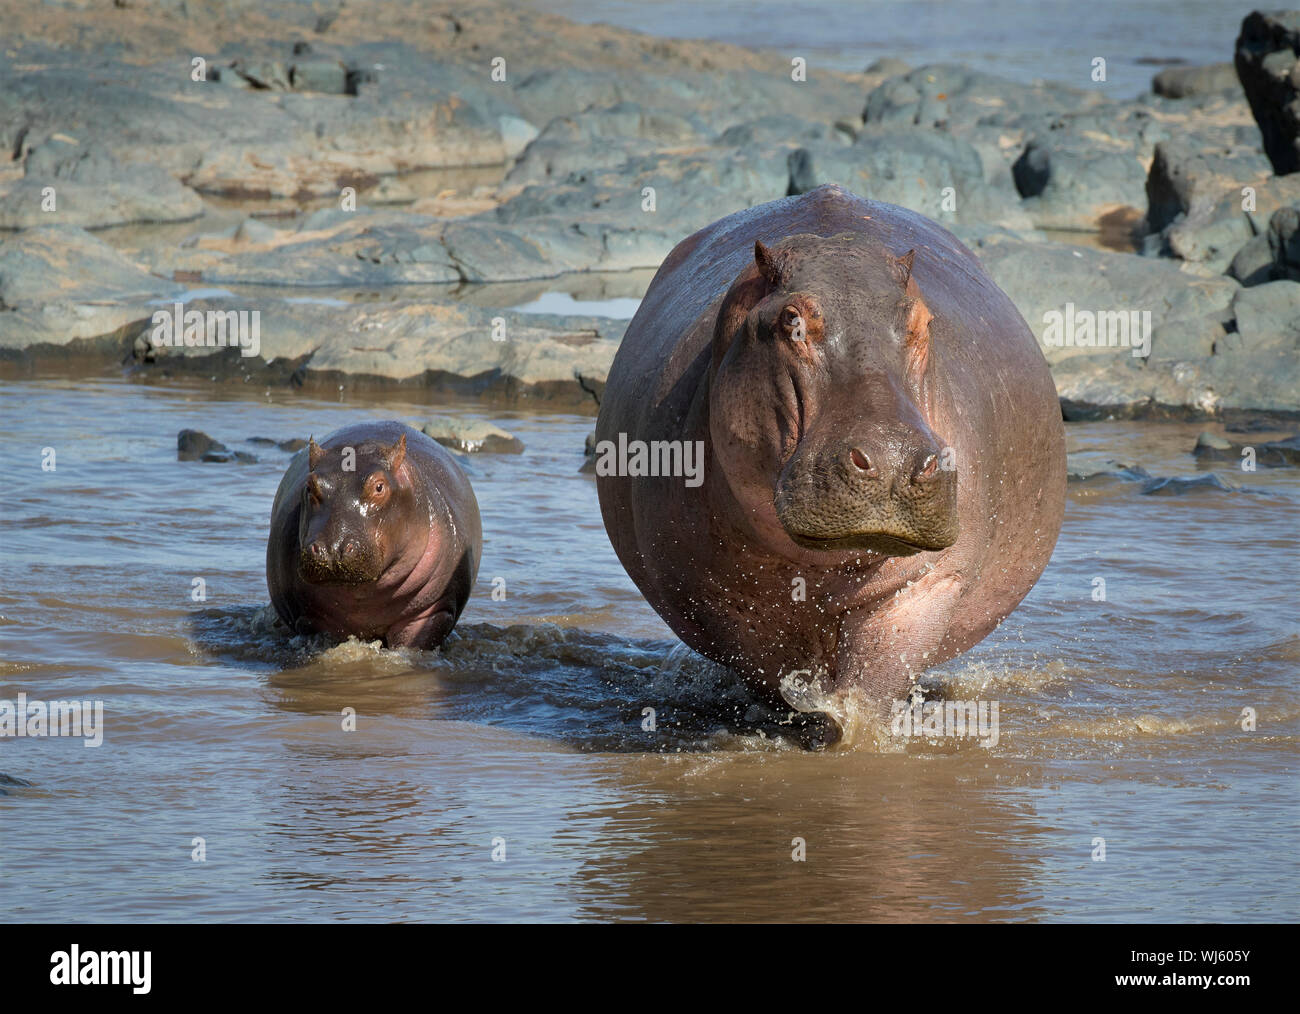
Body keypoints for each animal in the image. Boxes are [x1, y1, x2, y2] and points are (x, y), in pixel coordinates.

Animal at [595, 184, 1060, 707]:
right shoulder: (718, 595)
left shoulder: (930, 582)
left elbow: (875, 684)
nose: (893, 460)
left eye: (923, 321)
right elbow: (770, 674)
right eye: (790, 320)